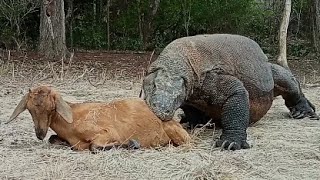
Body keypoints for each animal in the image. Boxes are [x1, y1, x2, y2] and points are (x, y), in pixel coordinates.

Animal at [6, 86, 190, 152]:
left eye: (52, 108)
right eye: (30, 110)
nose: (39, 133)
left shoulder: (107, 132)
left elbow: (94, 146)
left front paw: (132, 143)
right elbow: (53, 139)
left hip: (178, 135)